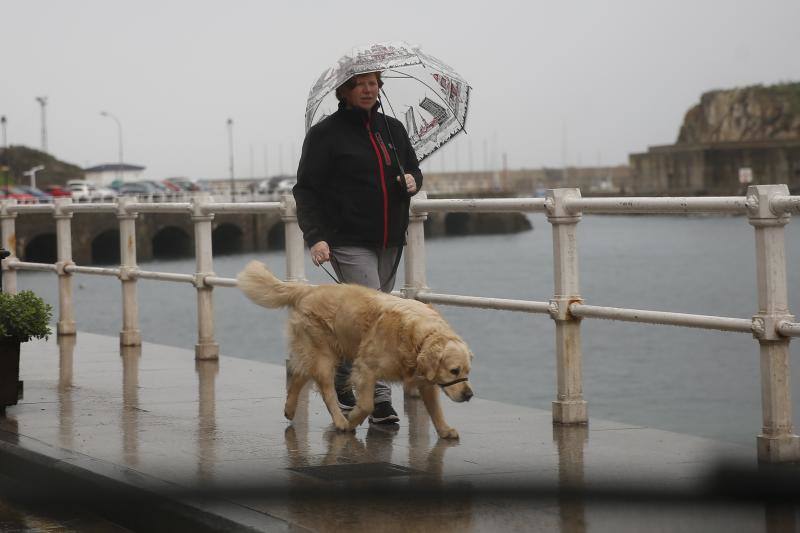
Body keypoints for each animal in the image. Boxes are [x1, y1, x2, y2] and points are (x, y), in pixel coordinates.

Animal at [238, 260, 476, 438]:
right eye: (454, 370)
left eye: (467, 371)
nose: (469, 394)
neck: (415, 336)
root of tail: (306, 290)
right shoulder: (365, 368)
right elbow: (366, 405)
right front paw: (352, 419)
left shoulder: (425, 379)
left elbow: (435, 408)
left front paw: (444, 430)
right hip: (323, 355)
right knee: (326, 392)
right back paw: (340, 421)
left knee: (299, 376)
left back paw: (289, 409)